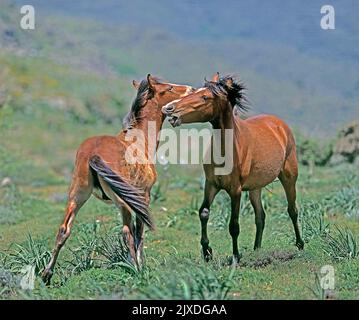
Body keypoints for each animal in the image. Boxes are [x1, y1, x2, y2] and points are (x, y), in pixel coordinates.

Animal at [41, 74, 194, 282]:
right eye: (169, 88)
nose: (191, 89)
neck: (139, 140)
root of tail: (93, 154)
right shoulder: (143, 196)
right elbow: (140, 233)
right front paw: (141, 265)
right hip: (123, 202)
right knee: (127, 233)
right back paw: (136, 270)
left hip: (77, 195)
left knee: (63, 230)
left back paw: (46, 274)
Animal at [162, 74, 306, 264]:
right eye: (195, 91)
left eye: (205, 97)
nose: (169, 108)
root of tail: (279, 125)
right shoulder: (211, 184)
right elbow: (204, 213)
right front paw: (207, 252)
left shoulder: (235, 190)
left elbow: (234, 225)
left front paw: (236, 257)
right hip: (255, 188)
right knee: (260, 216)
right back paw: (257, 249)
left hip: (289, 177)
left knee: (292, 210)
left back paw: (300, 244)